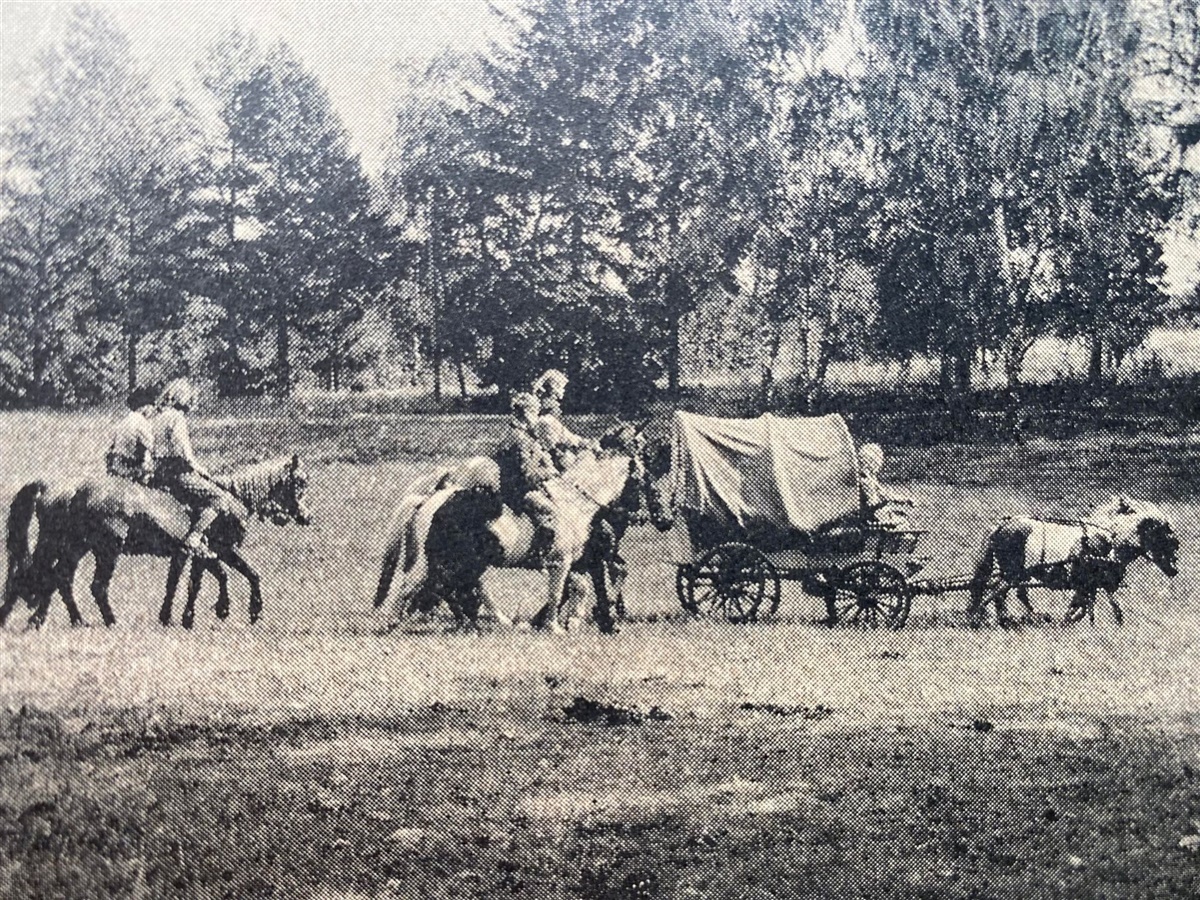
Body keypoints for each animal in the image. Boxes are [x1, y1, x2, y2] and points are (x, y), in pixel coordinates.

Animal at [1, 456, 311, 630]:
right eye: (299, 482)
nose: (307, 516)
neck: (229, 499)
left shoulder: (206, 552)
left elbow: (242, 574)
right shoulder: (208, 552)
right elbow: (206, 580)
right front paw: (206, 612)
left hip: (74, 547)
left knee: (57, 578)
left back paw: (66, 619)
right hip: (104, 549)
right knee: (91, 585)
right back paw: (108, 620)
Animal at [967, 495, 1179, 626]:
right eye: (1165, 534)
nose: (1174, 569)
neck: (1109, 540)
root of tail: (1003, 524)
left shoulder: (1096, 583)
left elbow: (1096, 606)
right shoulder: (1088, 582)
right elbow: (1084, 606)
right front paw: (1068, 621)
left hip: (1016, 574)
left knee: (1009, 592)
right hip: (1012, 572)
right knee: (998, 591)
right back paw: (1006, 619)